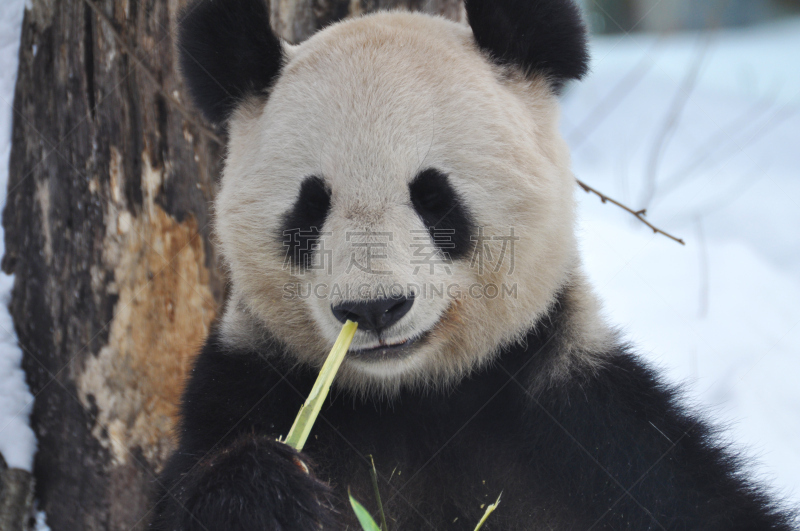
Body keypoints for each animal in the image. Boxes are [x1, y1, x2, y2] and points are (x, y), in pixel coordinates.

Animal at [148, 1, 792, 531]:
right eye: (310, 207)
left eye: (435, 198)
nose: (374, 309)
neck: (414, 396)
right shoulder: (249, 386)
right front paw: (270, 496)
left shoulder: (589, 431)